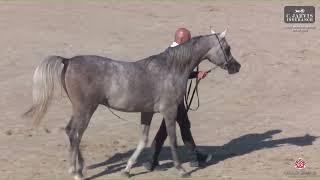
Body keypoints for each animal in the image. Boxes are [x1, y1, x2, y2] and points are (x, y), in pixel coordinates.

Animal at [24, 29, 240, 180]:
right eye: (227, 48)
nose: (236, 67)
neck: (171, 69)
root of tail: (68, 61)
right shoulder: (169, 112)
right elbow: (173, 140)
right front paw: (181, 170)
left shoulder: (147, 112)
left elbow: (144, 140)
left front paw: (127, 169)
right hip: (85, 109)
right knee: (75, 134)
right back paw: (77, 171)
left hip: (81, 109)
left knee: (71, 132)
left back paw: (77, 167)